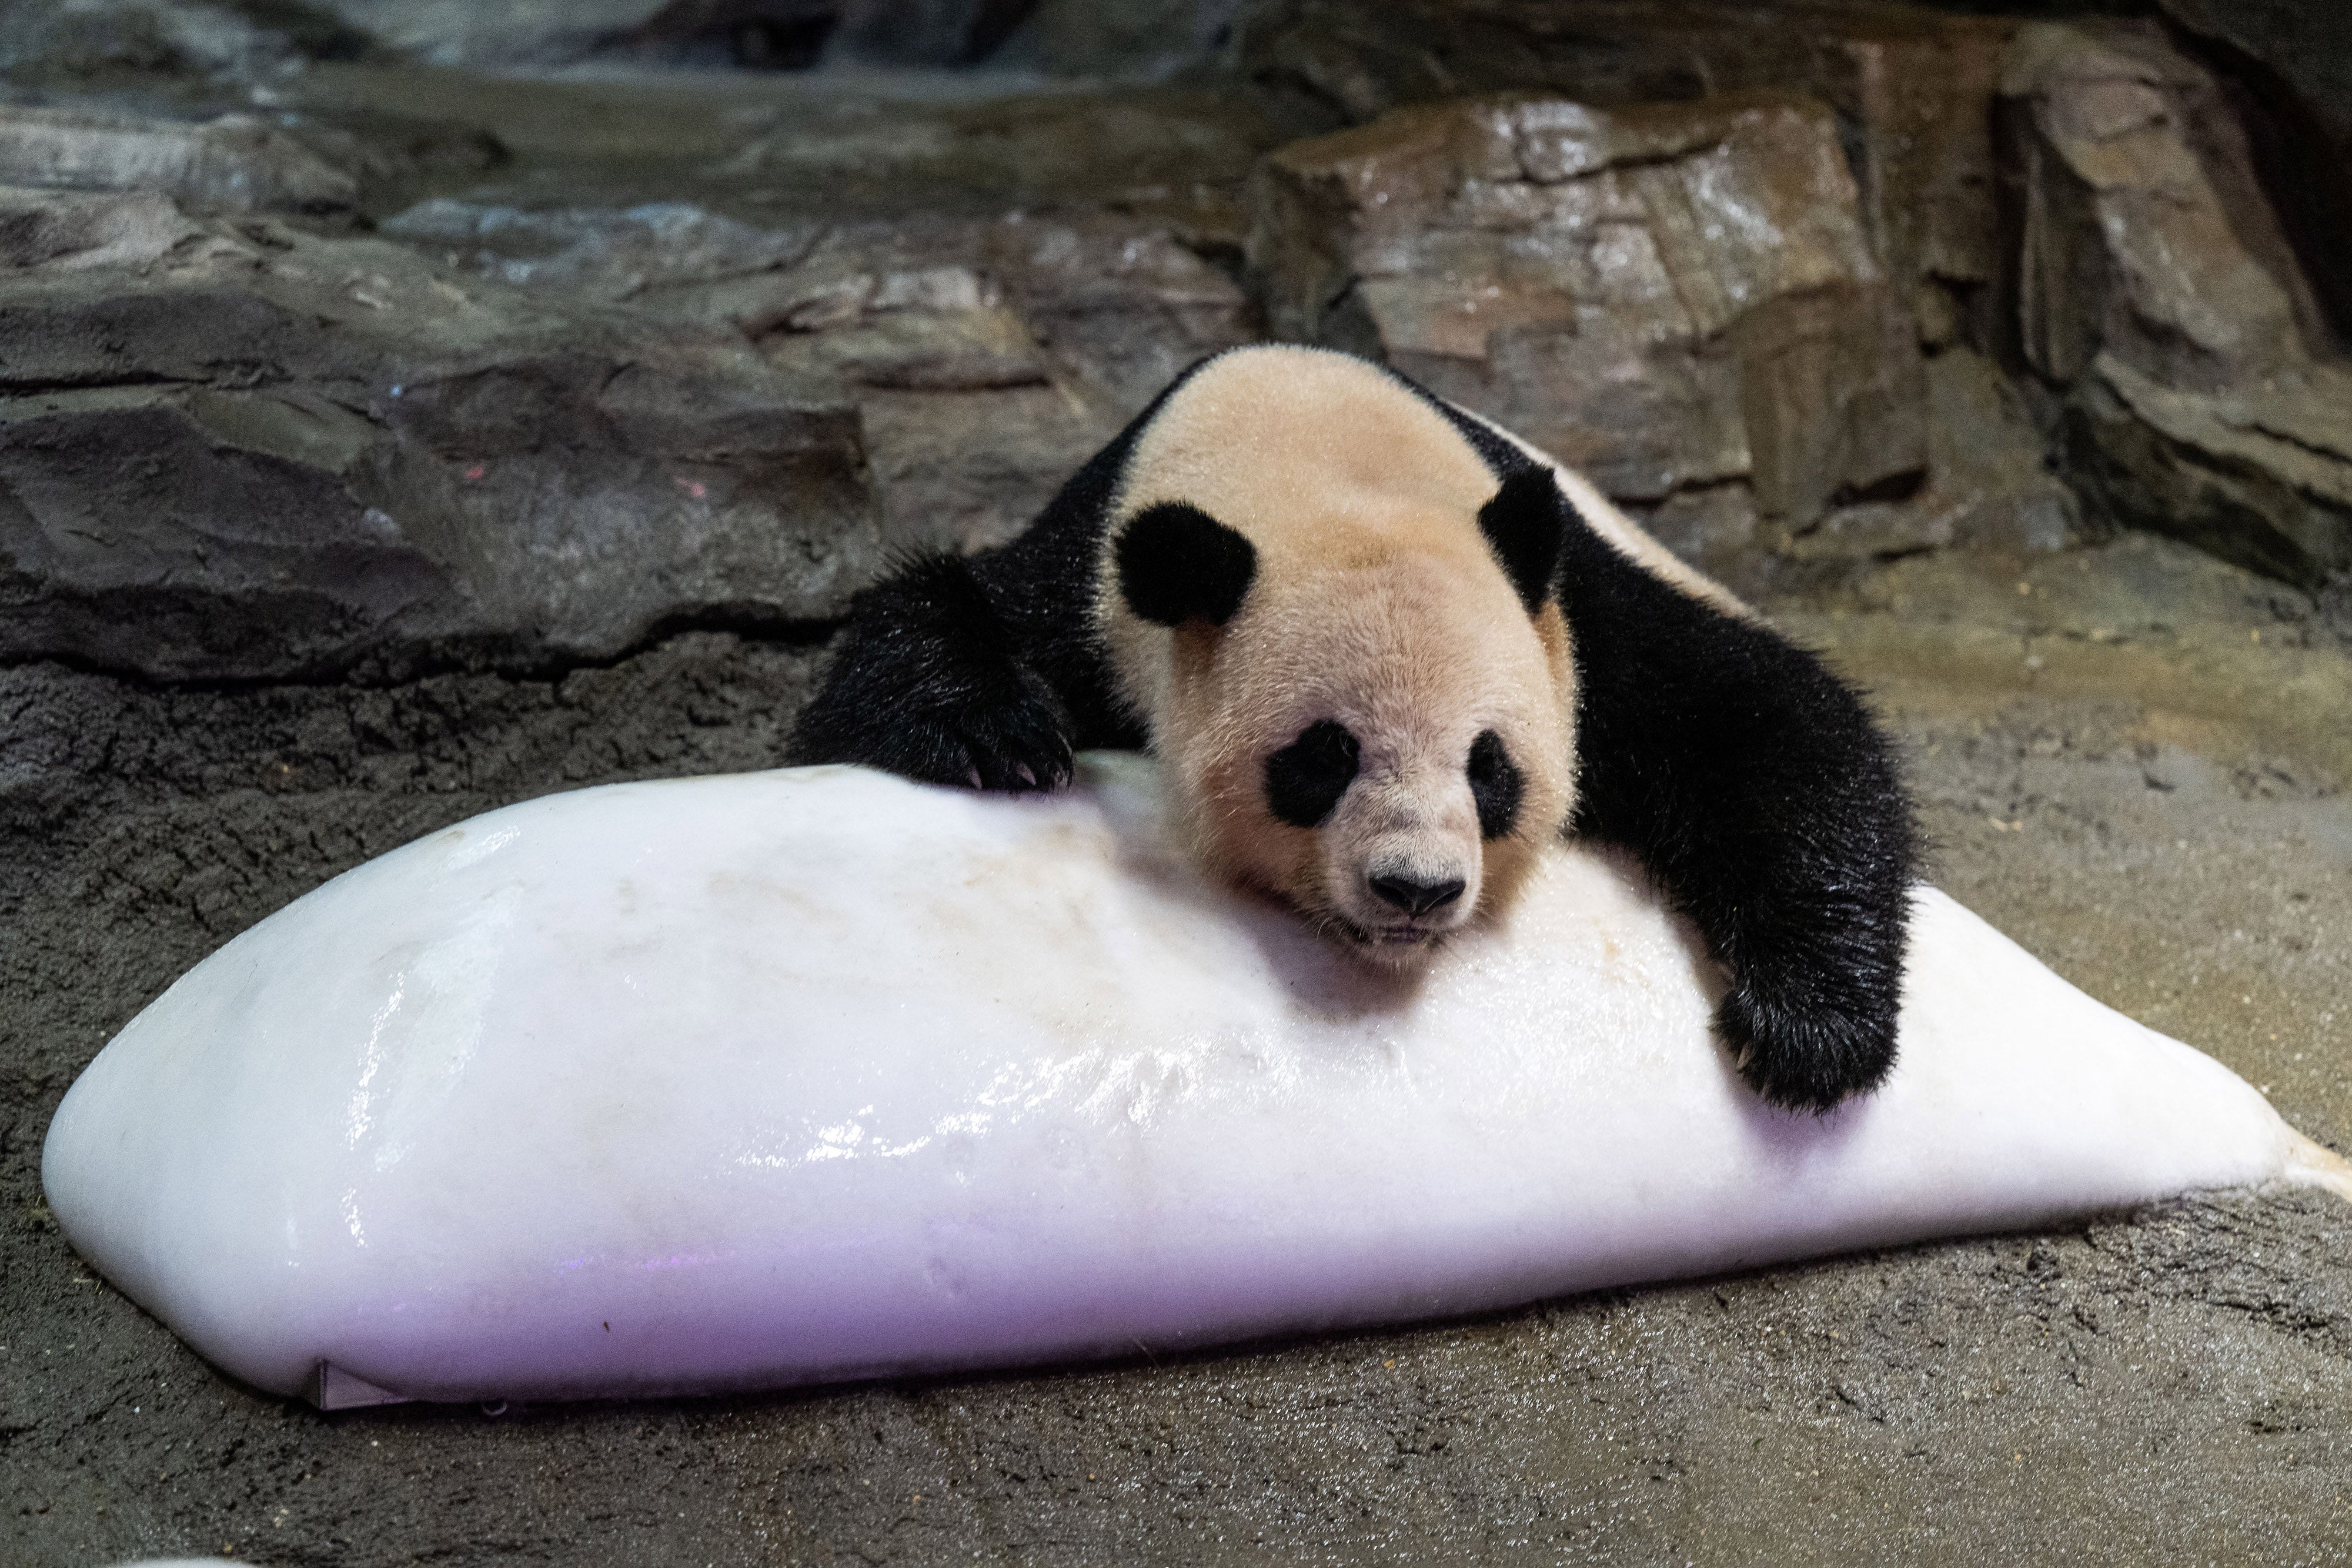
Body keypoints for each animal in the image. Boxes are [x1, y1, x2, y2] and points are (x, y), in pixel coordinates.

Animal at [790, 343, 1910, 1109]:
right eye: (1323, 757)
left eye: (1490, 766)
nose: (1416, 889)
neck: (1319, 452)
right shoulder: (1097, 585)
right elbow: (907, 641)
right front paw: (1001, 734)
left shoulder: (1569, 610)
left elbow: (1768, 718)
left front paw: (1806, 1031)